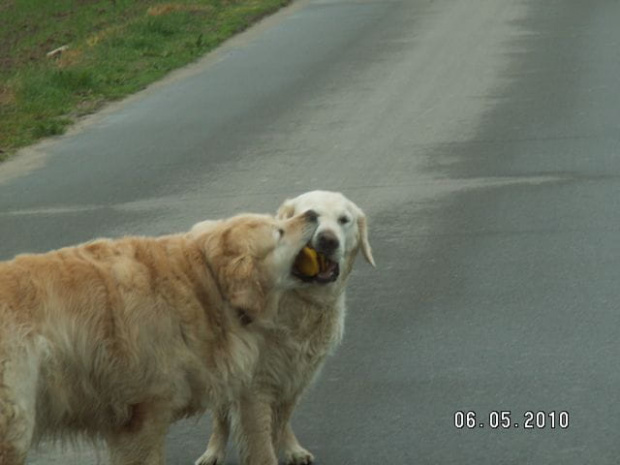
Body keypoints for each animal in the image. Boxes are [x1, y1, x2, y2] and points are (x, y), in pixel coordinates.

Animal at [196, 189, 376, 464]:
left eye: (344, 220)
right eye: (312, 214)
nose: (328, 240)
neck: (301, 302)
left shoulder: (297, 374)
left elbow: (277, 426)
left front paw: (286, 446)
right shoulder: (254, 386)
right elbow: (260, 441)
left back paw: (293, 448)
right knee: (221, 416)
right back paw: (212, 452)